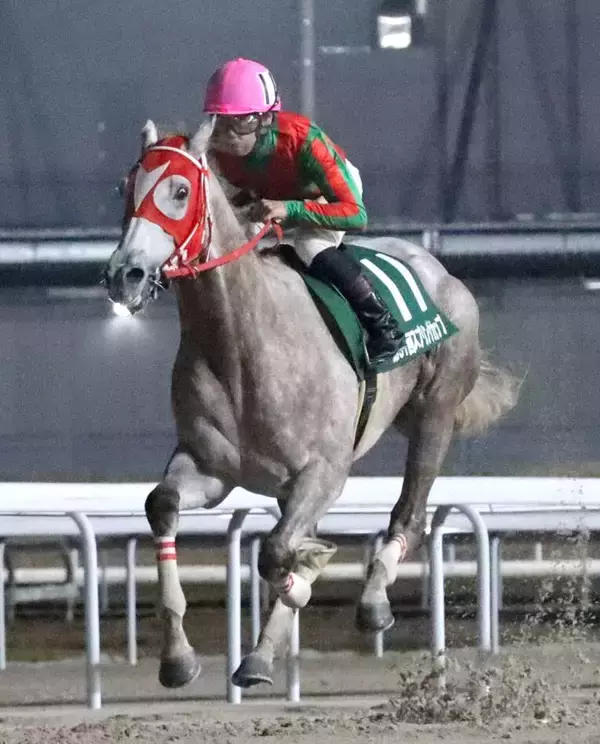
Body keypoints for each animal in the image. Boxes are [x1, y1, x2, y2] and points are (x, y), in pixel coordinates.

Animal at [104, 117, 520, 690]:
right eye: (127, 187)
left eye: (180, 190)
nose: (124, 275)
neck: (241, 345)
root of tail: (438, 268)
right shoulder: (211, 467)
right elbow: (163, 506)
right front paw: (179, 658)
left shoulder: (324, 470)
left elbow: (279, 552)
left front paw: (309, 570)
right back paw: (259, 656)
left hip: (435, 412)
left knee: (409, 514)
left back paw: (372, 601)